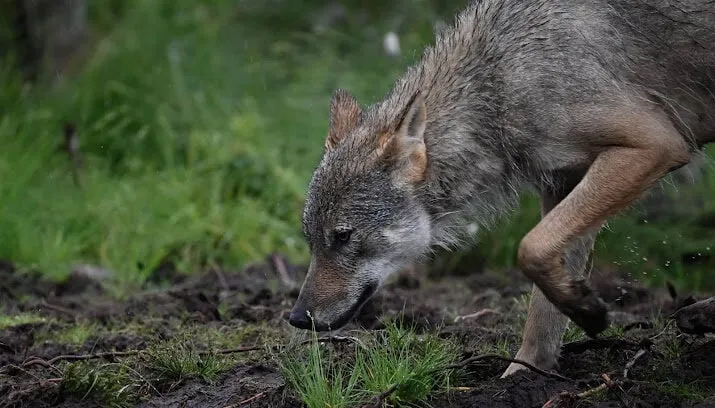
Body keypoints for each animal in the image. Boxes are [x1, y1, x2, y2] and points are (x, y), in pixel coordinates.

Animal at [288, 0, 715, 377]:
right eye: (311, 240)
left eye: (343, 237)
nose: (295, 318)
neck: (498, 85)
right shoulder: (564, 182)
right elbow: (542, 308)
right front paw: (523, 376)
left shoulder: (655, 146)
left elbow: (530, 248)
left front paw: (590, 313)